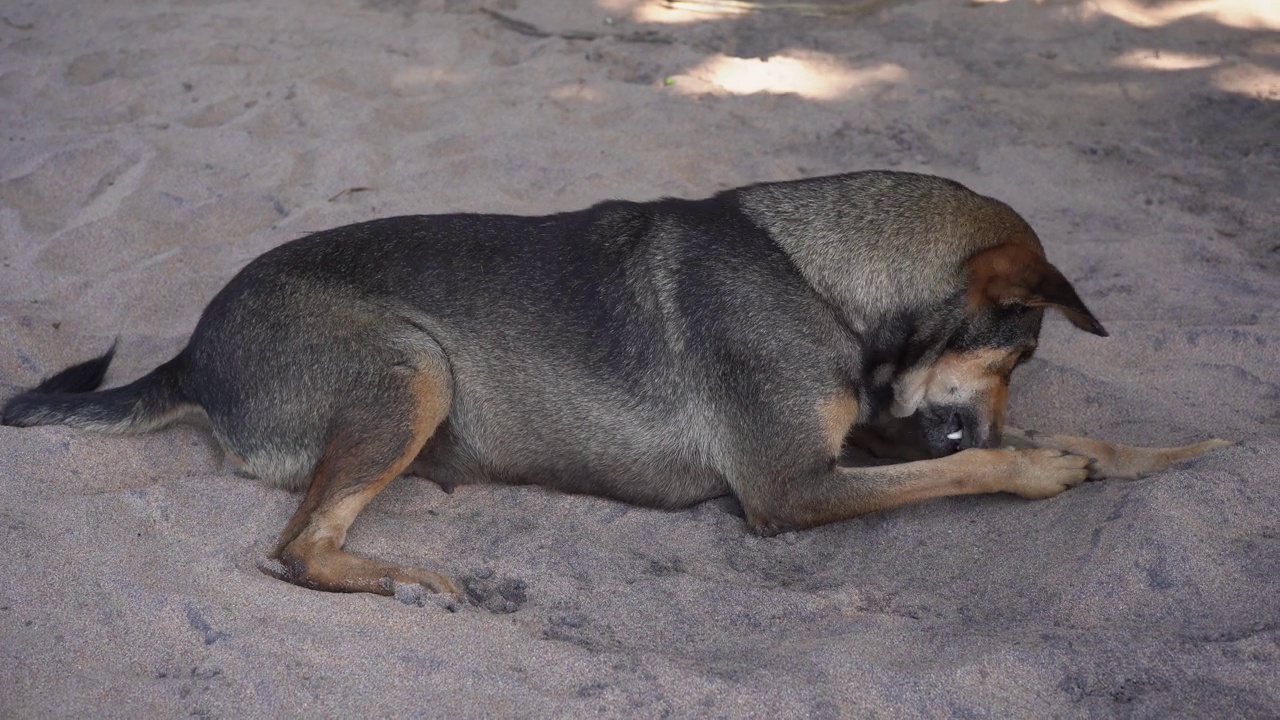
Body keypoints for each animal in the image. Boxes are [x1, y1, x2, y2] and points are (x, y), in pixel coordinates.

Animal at [2, 170, 1228, 597]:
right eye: (1020, 357)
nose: (995, 415)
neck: (820, 273)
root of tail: (194, 346)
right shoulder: (791, 489)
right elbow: (966, 473)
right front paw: (1040, 468)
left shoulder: (860, 433)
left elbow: (1047, 448)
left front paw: (1169, 453)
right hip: (413, 367)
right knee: (295, 548)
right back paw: (409, 578)